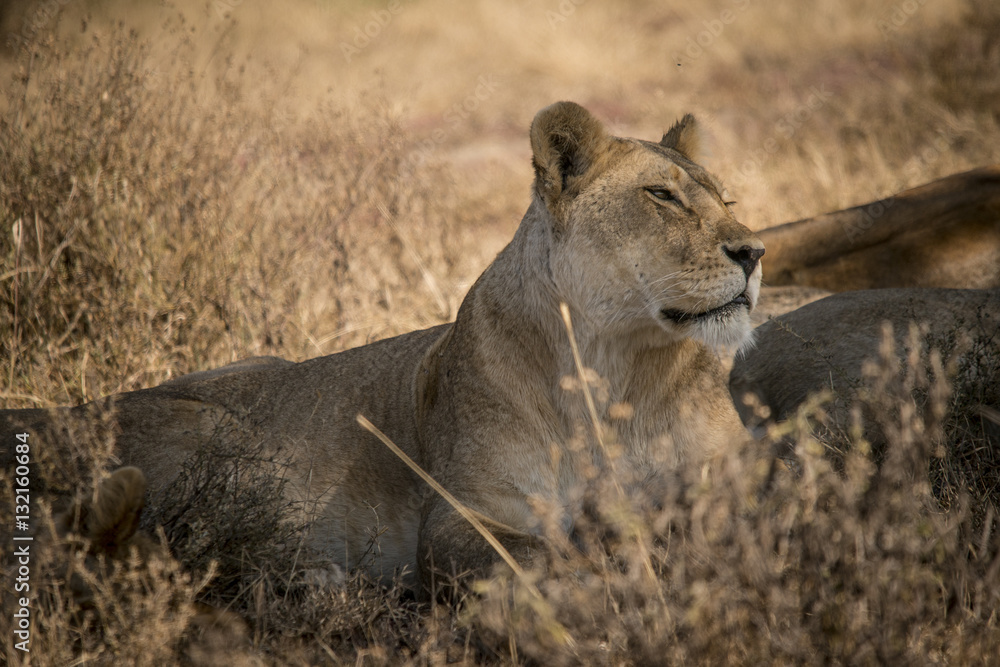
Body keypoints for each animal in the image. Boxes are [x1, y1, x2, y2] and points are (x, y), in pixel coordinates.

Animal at [2, 101, 763, 594]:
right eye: (662, 195)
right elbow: (545, 559)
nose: (754, 251)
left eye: (725, 199)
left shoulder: (733, 477)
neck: (616, 370)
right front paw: (615, 565)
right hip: (208, 430)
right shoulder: (461, 517)